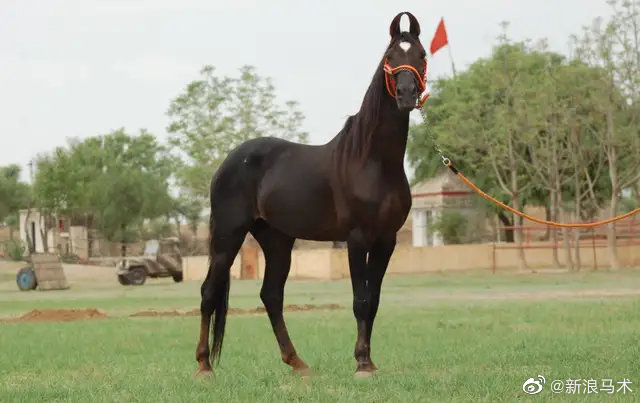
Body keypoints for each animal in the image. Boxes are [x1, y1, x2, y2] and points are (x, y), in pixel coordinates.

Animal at [195, 11, 428, 378]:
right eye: (390, 57)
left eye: (421, 54)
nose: (406, 94)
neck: (371, 161)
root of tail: (229, 161)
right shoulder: (357, 238)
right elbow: (360, 301)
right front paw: (362, 363)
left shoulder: (386, 240)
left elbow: (374, 302)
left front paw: (369, 360)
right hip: (227, 236)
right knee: (209, 292)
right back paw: (204, 365)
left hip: (277, 240)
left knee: (271, 295)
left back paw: (298, 363)